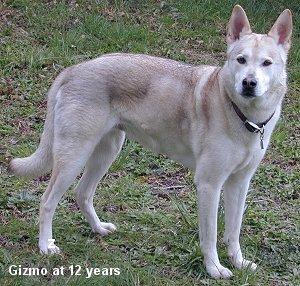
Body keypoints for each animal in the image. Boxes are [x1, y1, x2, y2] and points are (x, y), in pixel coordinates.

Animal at [10, 5, 292, 280]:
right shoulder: (209, 185)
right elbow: (210, 236)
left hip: (106, 152)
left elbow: (233, 231)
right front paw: (214, 268)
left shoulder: (239, 183)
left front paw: (239, 262)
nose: (249, 83)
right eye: (240, 59)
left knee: (83, 193)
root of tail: (72, 70)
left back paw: (98, 228)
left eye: (266, 63)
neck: (245, 117)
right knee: (47, 202)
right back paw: (46, 245)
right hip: (73, 157)